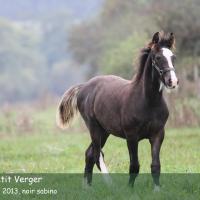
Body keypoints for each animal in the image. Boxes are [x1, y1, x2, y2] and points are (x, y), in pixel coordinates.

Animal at [56, 30, 180, 189]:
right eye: (158, 57)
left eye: (173, 57)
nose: (173, 81)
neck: (148, 101)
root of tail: (84, 86)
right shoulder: (131, 136)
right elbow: (134, 166)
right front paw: (129, 189)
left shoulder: (158, 134)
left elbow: (155, 165)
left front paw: (157, 190)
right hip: (94, 128)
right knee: (97, 154)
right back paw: (111, 185)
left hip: (105, 131)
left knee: (89, 154)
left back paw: (87, 187)